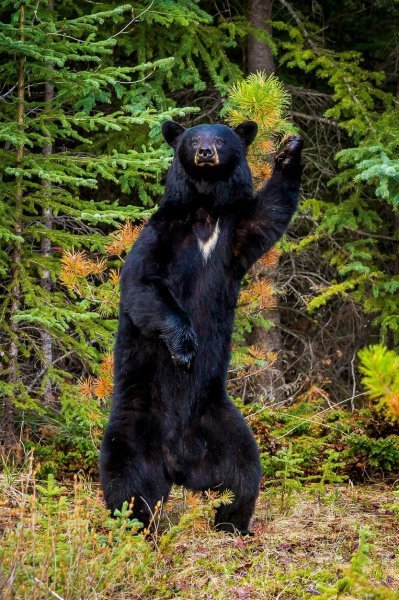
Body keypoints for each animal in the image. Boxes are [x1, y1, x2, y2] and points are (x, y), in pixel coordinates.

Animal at [100, 119, 304, 532]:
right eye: (193, 138)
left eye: (220, 139)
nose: (205, 153)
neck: (206, 211)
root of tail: (177, 463)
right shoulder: (162, 233)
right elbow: (142, 283)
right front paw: (185, 347)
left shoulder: (234, 233)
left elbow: (269, 214)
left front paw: (290, 151)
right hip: (134, 426)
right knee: (127, 483)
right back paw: (134, 528)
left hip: (220, 424)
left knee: (244, 472)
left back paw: (234, 524)